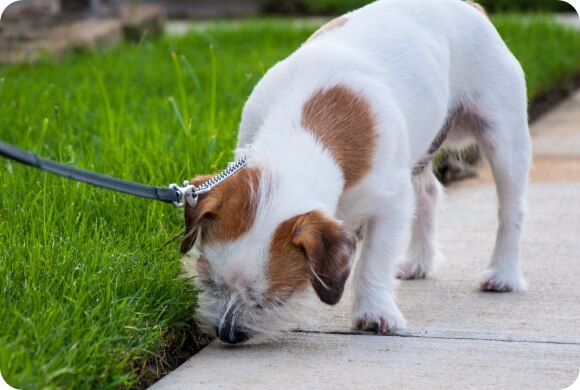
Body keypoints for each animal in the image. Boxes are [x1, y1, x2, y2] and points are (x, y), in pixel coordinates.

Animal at [180, 0, 532, 344]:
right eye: (209, 283)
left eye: (271, 300)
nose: (228, 334)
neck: (301, 134)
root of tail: (471, 7)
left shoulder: (391, 203)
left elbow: (373, 260)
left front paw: (374, 312)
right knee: (428, 193)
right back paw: (418, 262)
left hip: (504, 136)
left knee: (511, 209)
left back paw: (503, 274)